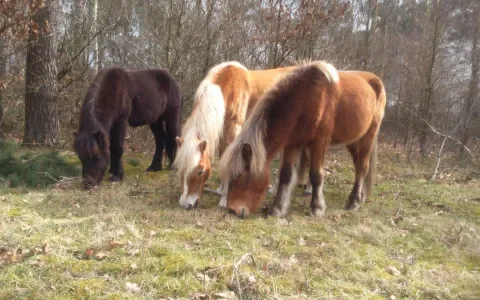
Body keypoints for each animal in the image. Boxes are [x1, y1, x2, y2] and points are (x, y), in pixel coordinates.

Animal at [174, 61, 306, 209]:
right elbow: (222, 157)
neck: (228, 85)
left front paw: (224, 200)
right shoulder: (222, 133)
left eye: (200, 171)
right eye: (180, 169)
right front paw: (221, 189)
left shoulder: (233, 131)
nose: (185, 204)